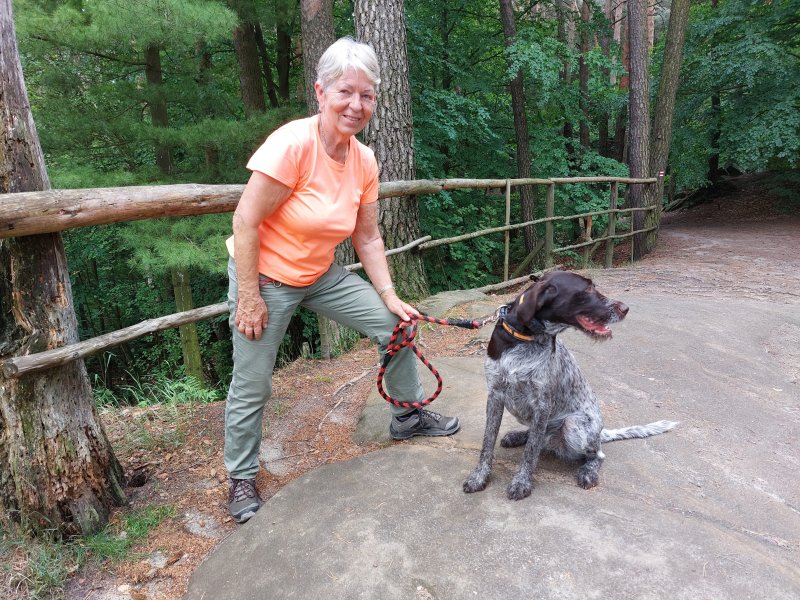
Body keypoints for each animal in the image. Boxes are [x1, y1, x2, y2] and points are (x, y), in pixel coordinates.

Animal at [462, 270, 676, 500]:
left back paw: (588, 471)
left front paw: (522, 482)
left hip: (574, 426)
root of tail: (600, 433)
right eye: (588, 289)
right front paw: (479, 477)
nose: (625, 308)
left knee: (596, 454)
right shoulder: (495, 395)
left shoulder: (542, 404)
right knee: (538, 436)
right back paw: (518, 436)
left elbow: (531, 452)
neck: (524, 338)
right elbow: (488, 442)